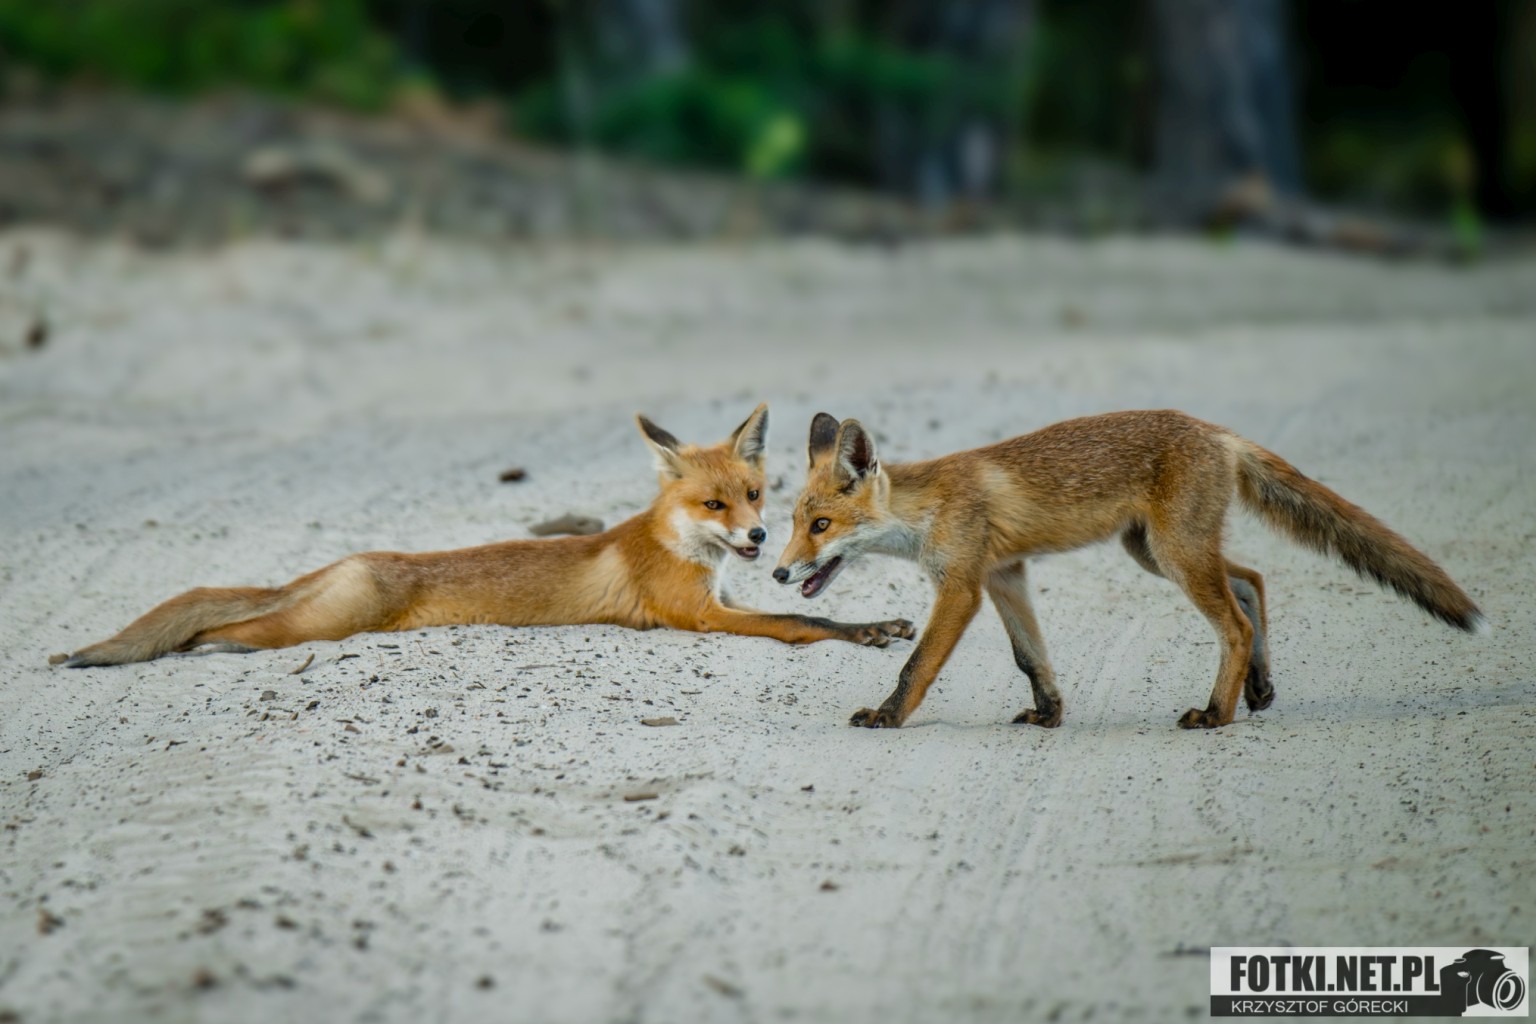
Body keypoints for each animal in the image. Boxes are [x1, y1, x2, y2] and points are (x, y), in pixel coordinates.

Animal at [59, 404, 914, 668]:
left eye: (755, 494)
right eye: (713, 504)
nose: (760, 536)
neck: (676, 544)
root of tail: (356, 557)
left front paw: (880, 624)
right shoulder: (700, 616)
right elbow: (800, 620)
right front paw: (866, 630)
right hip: (325, 623)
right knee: (222, 625)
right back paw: (202, 646)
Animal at [772, 409, 1484, 730]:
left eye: (820, 526)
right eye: (794, 521)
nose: (778, 574)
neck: (928, 507)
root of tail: (1215, 430)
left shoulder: (963, 585)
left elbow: (916, 665)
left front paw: (888, 716)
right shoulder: (1005, 575)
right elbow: (1031, 657)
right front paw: (1049, 714)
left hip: (1174, 554)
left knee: (1234, 623)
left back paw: (1217, 712)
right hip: (1156, 552)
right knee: (1252, 582)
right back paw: (1256, 689)